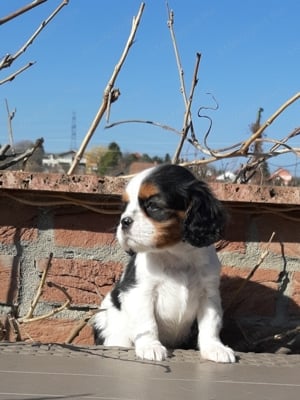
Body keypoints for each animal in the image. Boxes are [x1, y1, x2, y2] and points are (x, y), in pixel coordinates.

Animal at [95, 162, 236, 362]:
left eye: (153, 206)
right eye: (124, 206)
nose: (124, 221)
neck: (175, 253)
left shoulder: (208, 294)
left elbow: (210, 323)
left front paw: (215, 348)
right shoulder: (140, 292)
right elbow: (147, 323)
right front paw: (150, 346)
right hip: (111, 327)